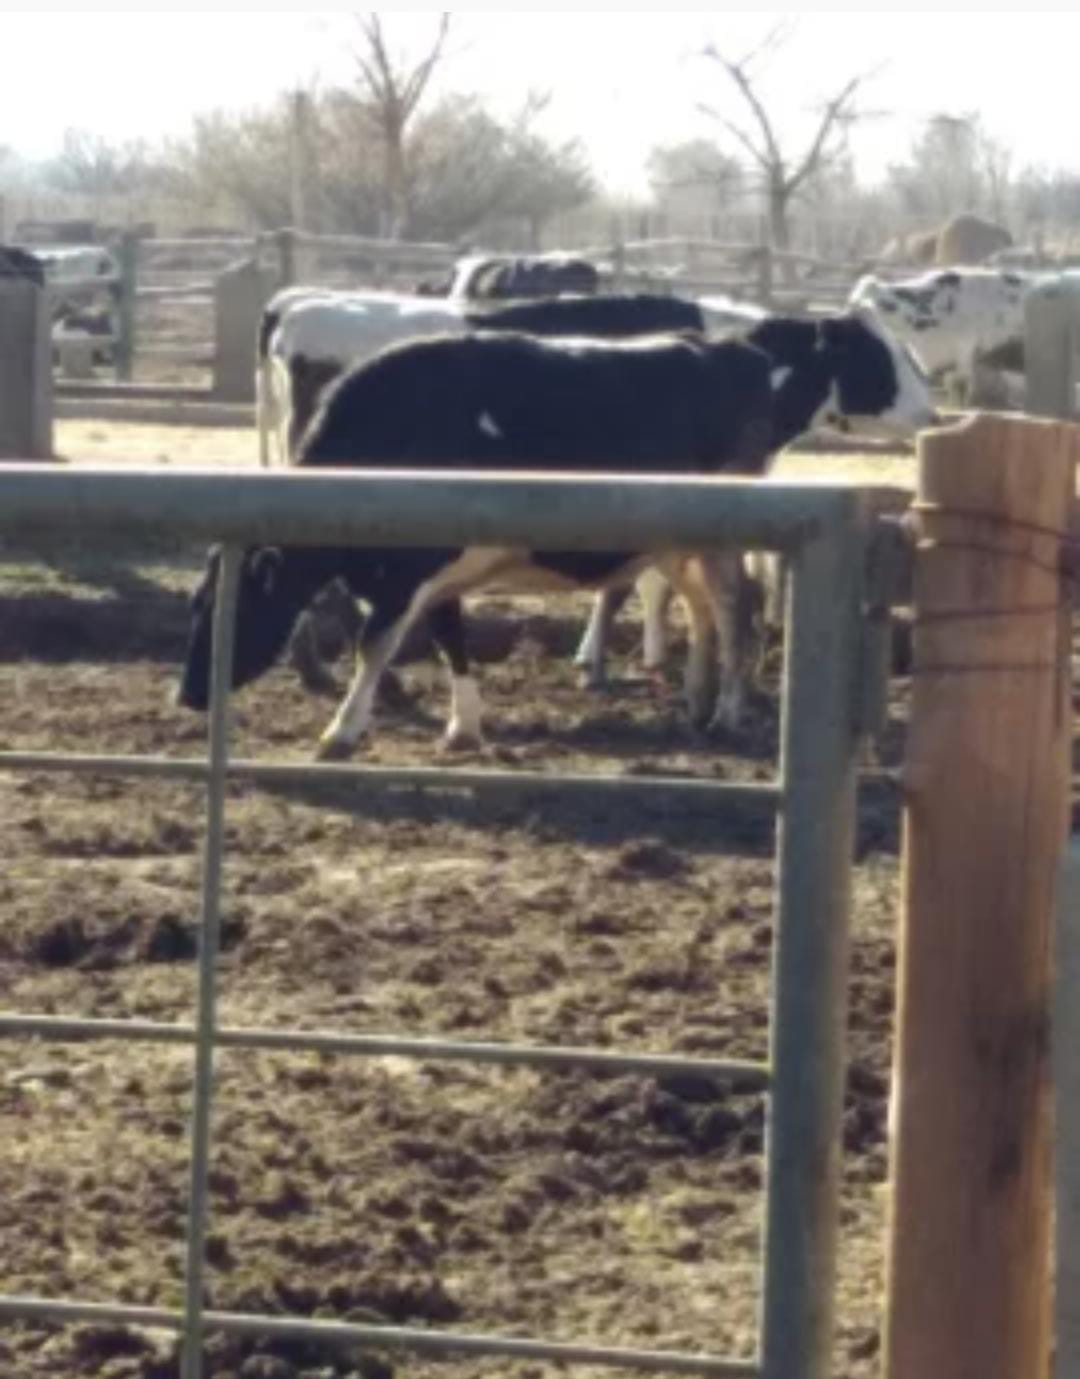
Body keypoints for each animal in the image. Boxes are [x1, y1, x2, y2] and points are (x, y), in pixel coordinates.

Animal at [177, 318, 937, 761]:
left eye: (235, 606)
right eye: (196, 605)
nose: (187, 695)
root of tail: (735, 348)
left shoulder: (410, 572)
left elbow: (376, 643)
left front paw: (342, 729)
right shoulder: (437, 574)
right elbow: (451, 641)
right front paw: (464, 726)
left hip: (716, 536)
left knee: (734, 608)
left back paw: (726, 711)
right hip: (679, 537)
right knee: (700, 607)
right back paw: (696, 701)